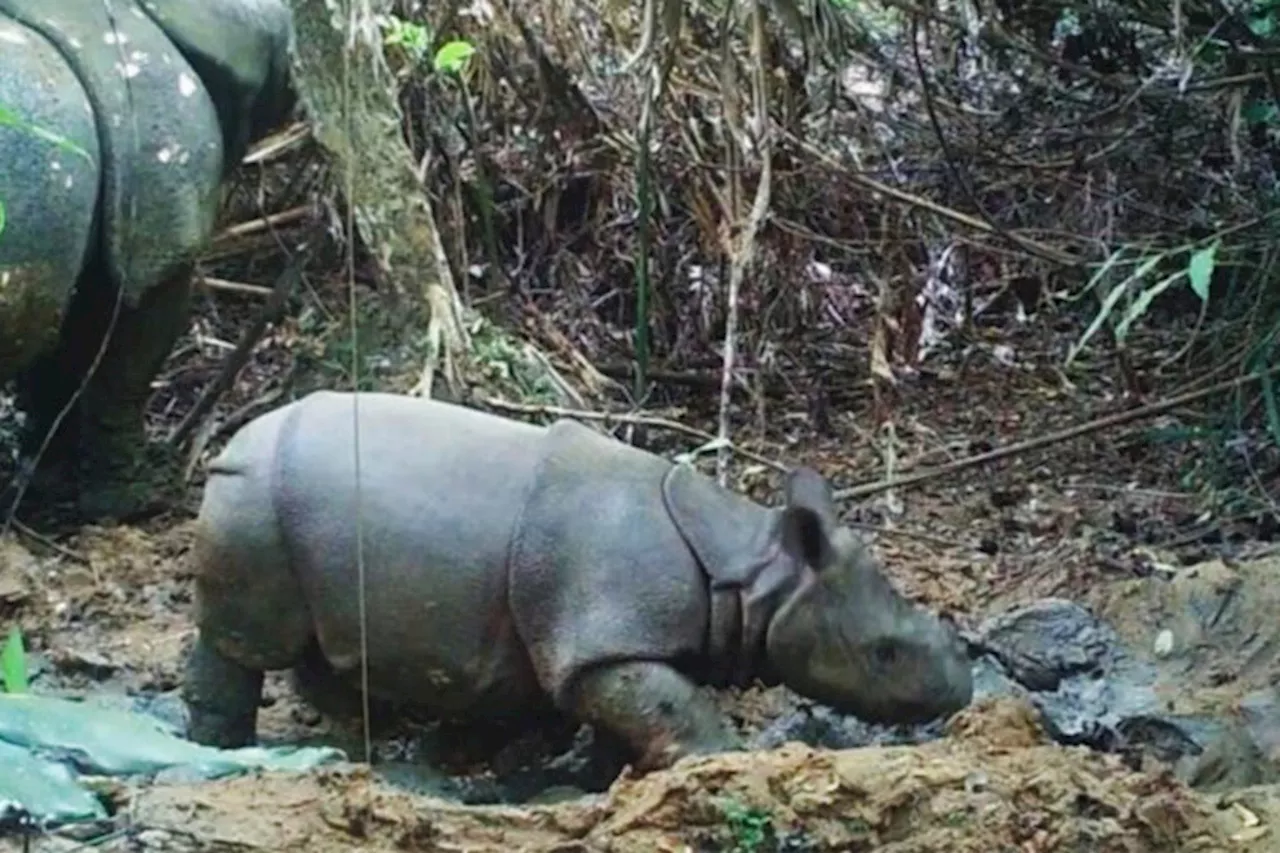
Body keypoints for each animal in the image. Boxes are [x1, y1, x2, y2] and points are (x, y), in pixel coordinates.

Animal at [183, 389, 967, 768]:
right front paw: (726, 759)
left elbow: (641, 708)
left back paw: (384, 735)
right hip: (254, 500)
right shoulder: (603, 638)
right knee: (244, 640)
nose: (958, 692)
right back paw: (225, 748)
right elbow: (667, 704)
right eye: (883, 653)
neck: (752, 571)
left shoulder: (612, 640)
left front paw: (591, 774)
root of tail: (230, 441)